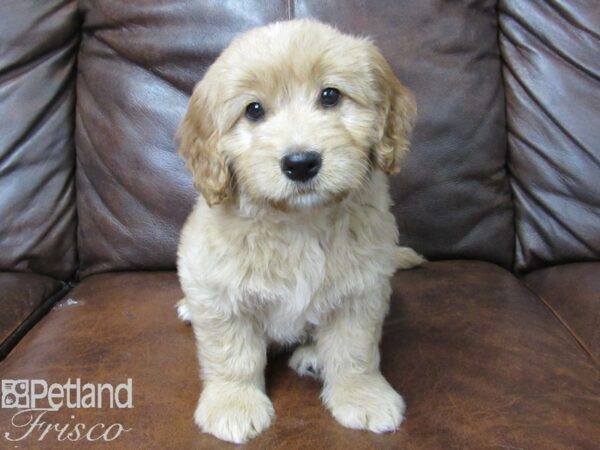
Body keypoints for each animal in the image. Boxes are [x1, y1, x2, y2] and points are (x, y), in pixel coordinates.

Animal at [176, 20, 424, 442]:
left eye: (330, 96)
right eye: (253, 110)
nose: (301, 163)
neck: (299, 223)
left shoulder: (362, 290)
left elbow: (355, 350)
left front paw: (363, 396)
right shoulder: (217, 286)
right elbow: (231, 353)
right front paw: (233, 403)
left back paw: (312, 356)